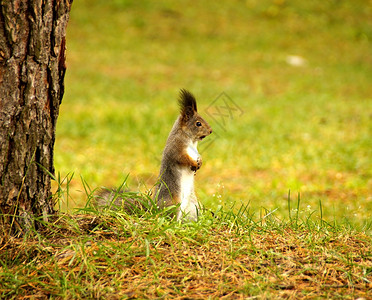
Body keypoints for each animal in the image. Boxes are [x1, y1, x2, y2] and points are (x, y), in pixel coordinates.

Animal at [94, 89, 212, 220]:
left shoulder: (194, 151)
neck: (191, 141)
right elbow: (182, 158)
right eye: (198, 123)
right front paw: (194, 163)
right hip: (173, 203)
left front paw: (200, 161)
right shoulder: (175, 149)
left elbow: (198, 156)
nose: (211, 130)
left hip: (193, 207)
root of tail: (152, 210)